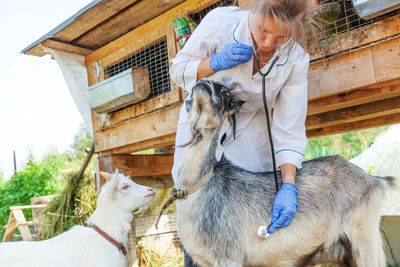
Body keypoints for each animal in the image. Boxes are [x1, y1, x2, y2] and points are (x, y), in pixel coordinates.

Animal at [174, 78, 394, 266]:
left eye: (226, 92)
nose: (204, 83)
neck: (196, 187)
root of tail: (374, 180)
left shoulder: (229, 257)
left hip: (364, 239)